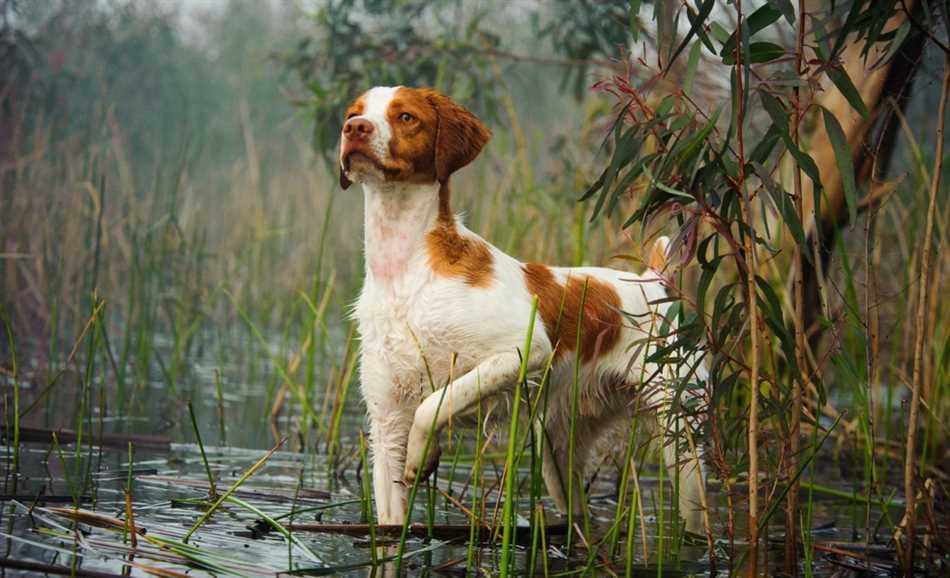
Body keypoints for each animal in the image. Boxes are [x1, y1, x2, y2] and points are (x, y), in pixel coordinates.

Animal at [340, 84, 708, 532]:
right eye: (354, 113)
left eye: (406, 116)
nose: (355, 129)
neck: (406, 271)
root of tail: (655, 279)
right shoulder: (387, 423)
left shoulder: (525, 349)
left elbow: (436, 402)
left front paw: (423, 454)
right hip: (558, 450)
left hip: (683, 438)